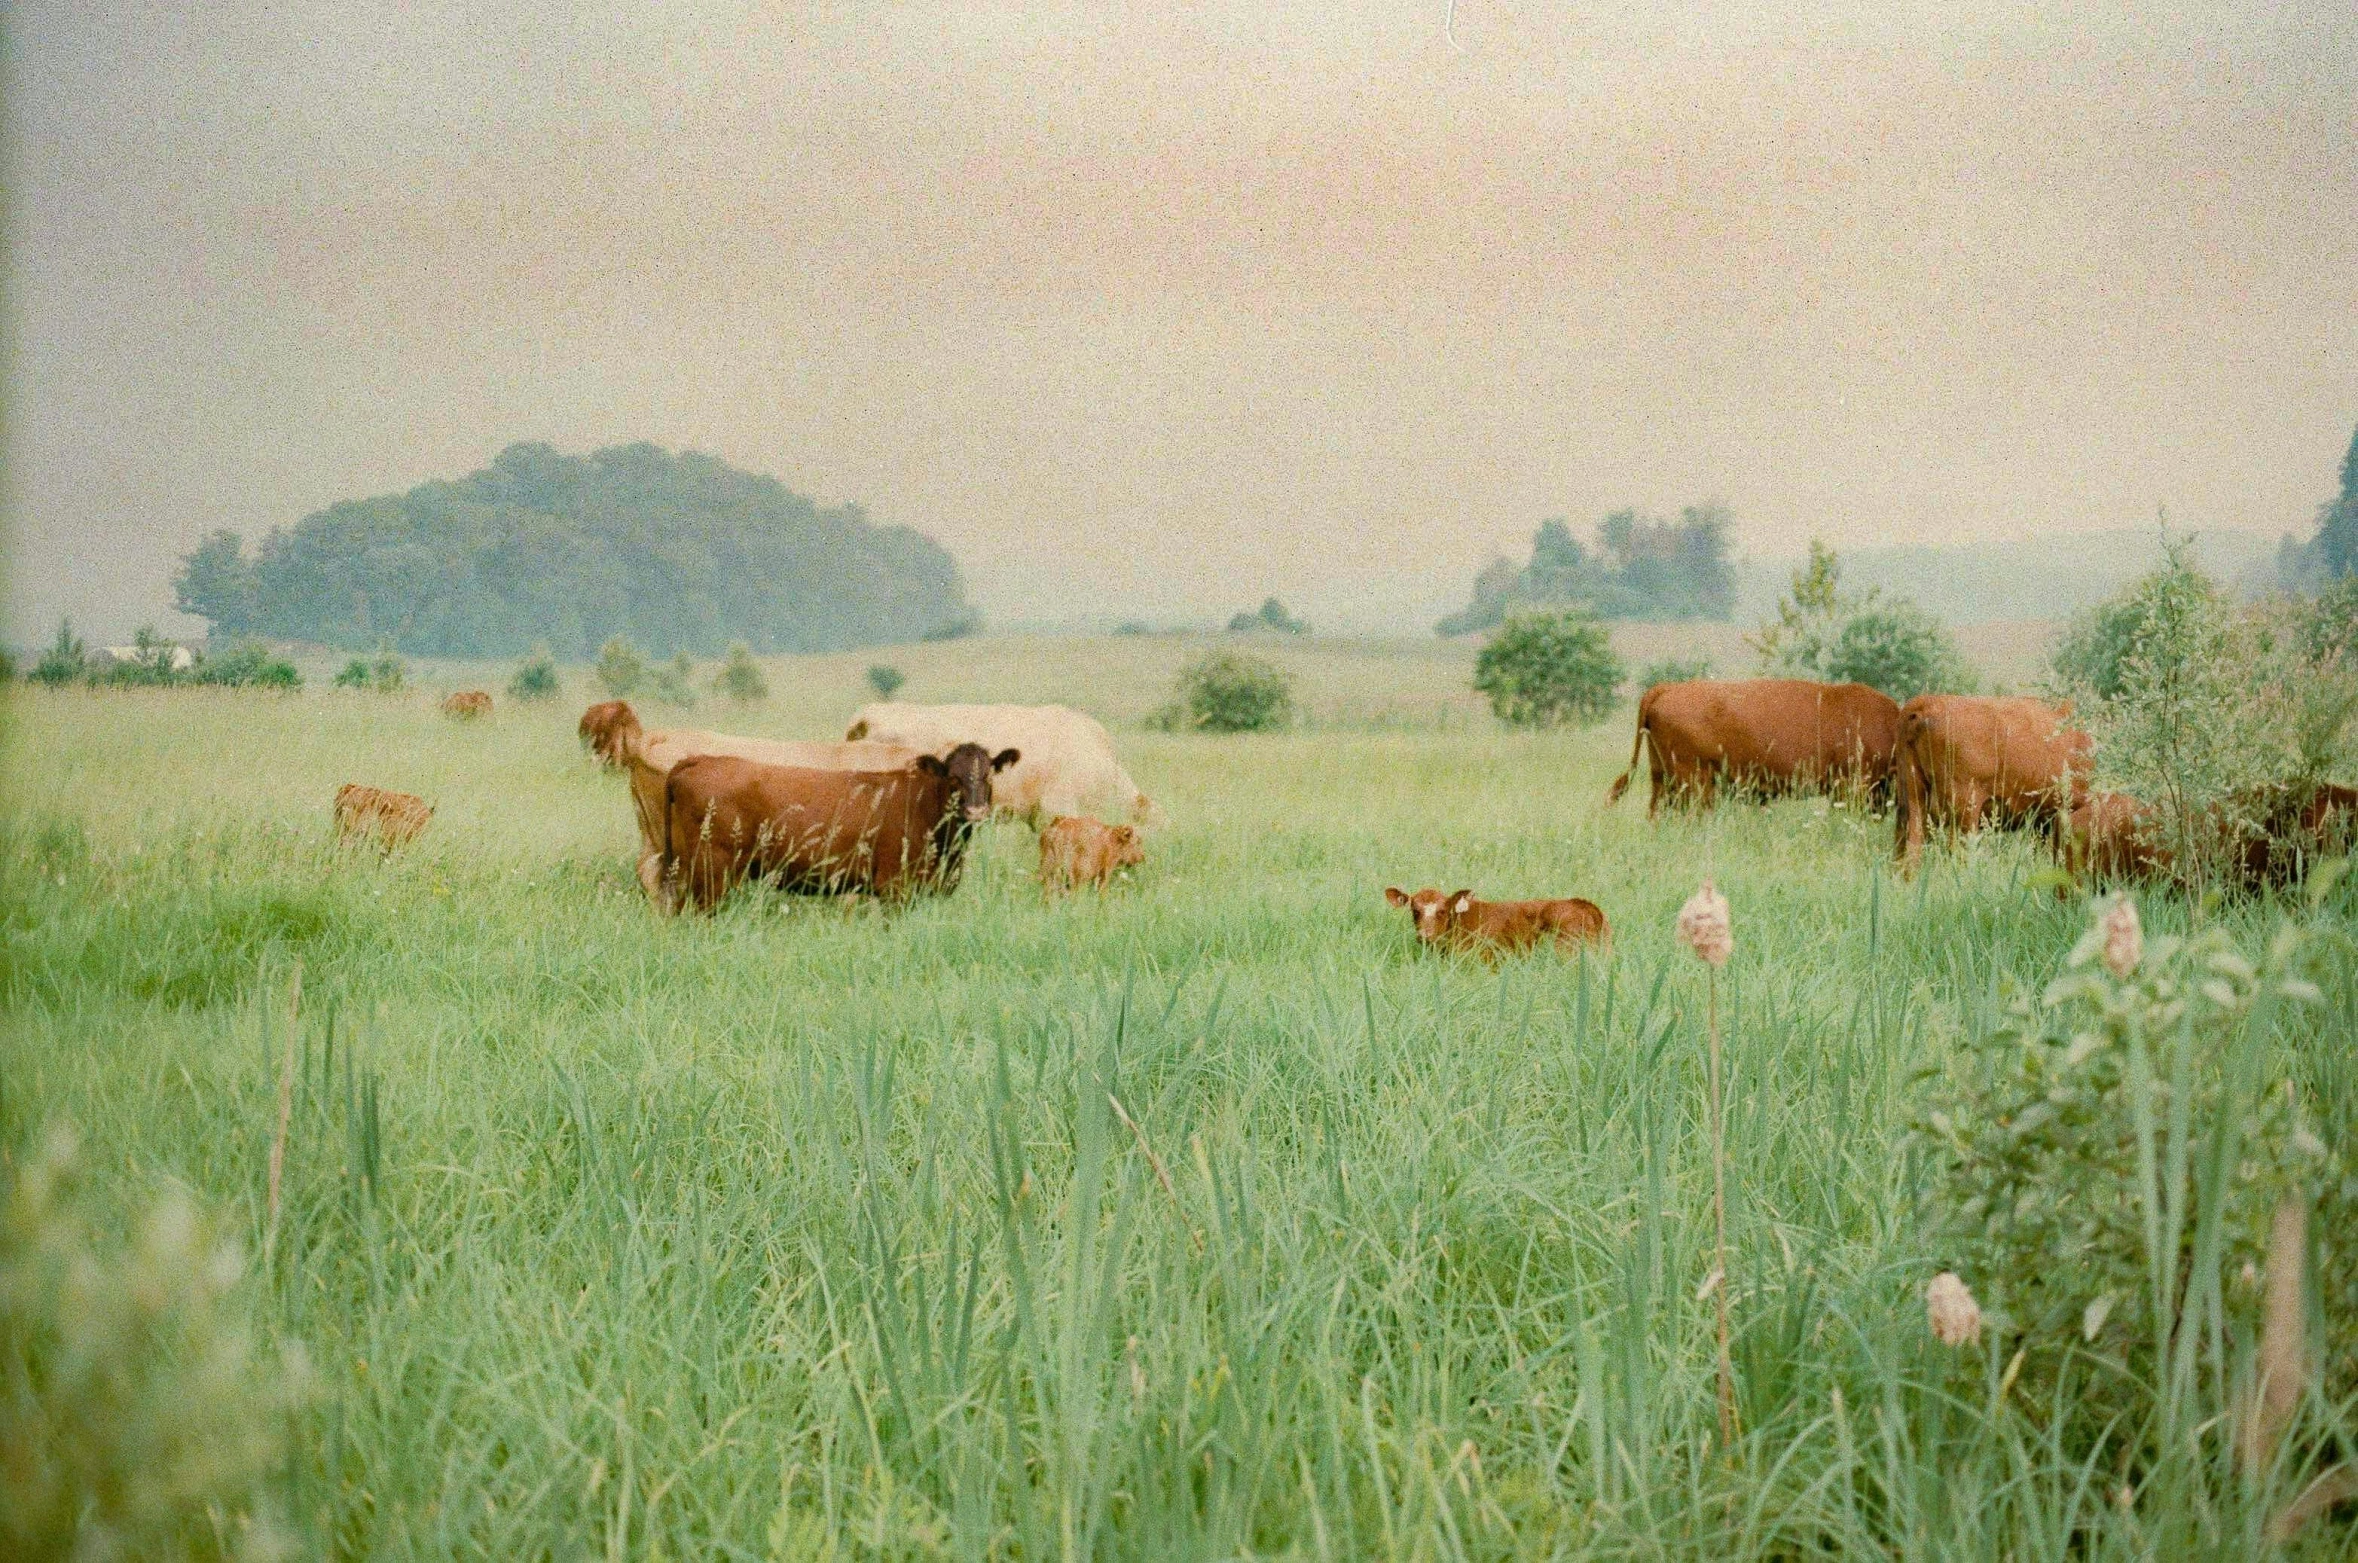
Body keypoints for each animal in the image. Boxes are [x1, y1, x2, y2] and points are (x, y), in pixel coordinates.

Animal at [655, 749, 1013, 919]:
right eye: (953, 778)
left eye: (988, 775)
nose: (976, 811)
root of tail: (698, 759)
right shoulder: (895, 887)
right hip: (711, 873)